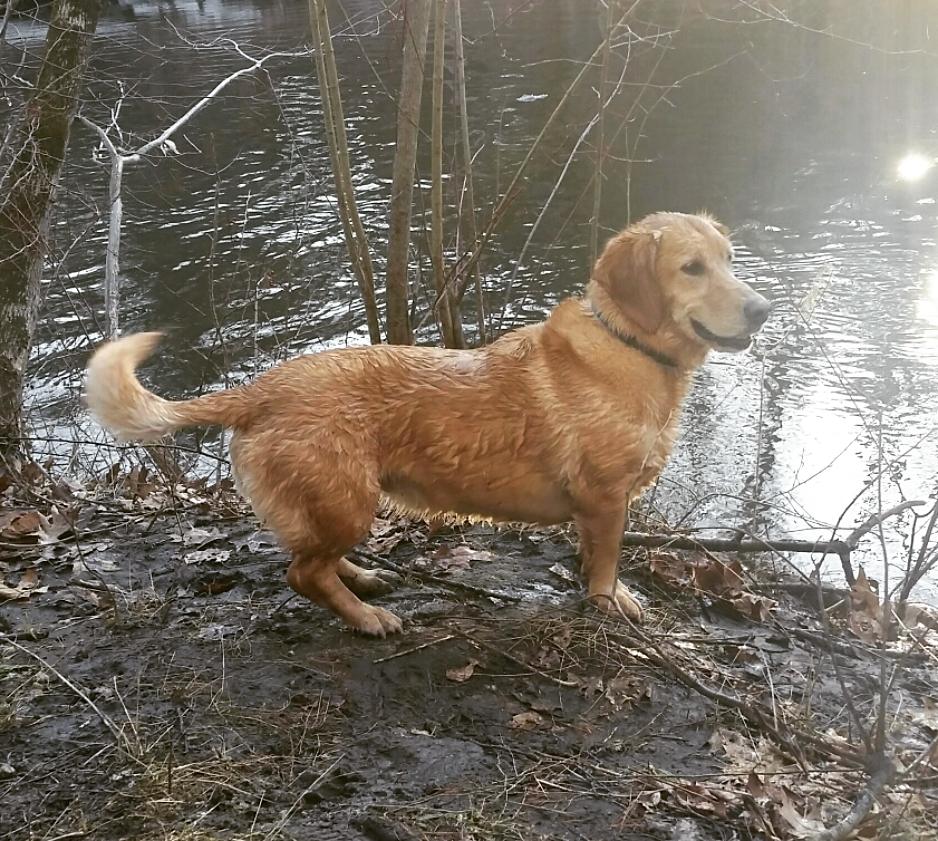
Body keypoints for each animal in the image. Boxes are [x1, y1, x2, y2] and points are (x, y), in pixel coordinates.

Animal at [84, 212, 764, 636]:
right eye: (691, 268)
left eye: (731, 261)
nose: (762, 309)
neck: (629, 345)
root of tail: (259, 390)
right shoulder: (605, 498)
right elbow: (605, 561)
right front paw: (607, 602)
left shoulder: (600, 504)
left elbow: (595, 554)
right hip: (350, 501)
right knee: (302, 572)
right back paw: (365, 618)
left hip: (332, 505)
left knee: (310, 558)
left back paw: (362, 580)